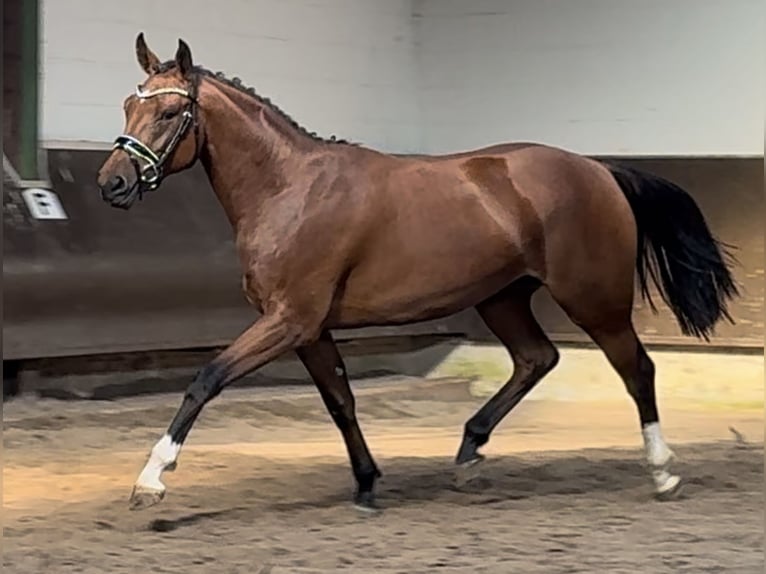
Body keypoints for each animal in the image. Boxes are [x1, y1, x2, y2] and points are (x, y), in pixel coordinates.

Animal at [94, 35, 736, 512]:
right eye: (129, 106)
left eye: (171, 112)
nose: (112, 184)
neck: (289, 188)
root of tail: (598, 169)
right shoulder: (309, 329)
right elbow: (340, 401)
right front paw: (367, 483)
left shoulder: (288, 320)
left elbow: (207, 378)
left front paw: (151, 480)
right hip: (503, 298)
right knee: (537, 359)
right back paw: (469, 454)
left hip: (594, 299)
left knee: (637, 369)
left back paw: (663, 473)